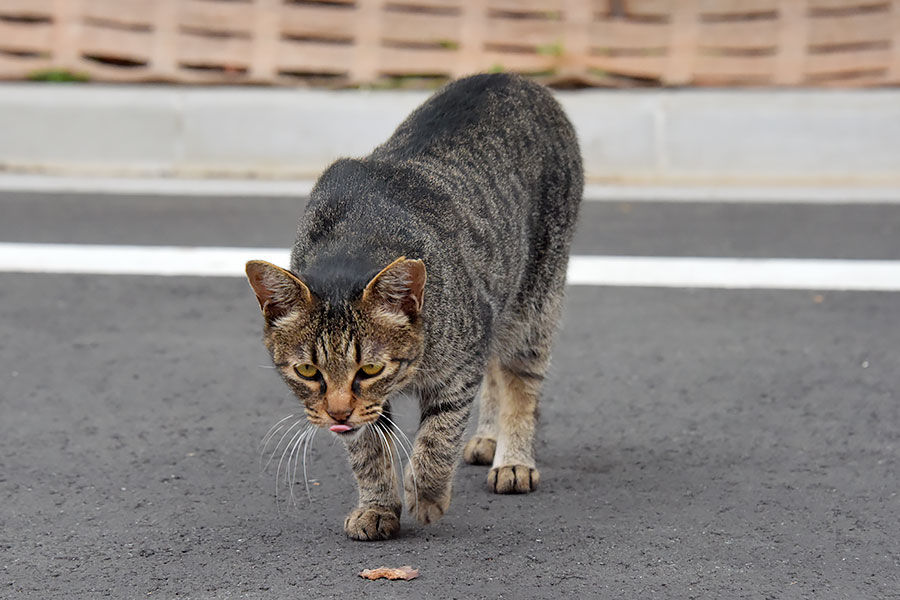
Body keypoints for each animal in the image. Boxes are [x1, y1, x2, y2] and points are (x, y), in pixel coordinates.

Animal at [246, 72, 584, 540]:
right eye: (308, 371)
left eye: (370, 368)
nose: (336, 412)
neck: (354, 241)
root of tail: (511, 76)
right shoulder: (365, 412)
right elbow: (368, 451)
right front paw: (377, 507)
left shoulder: (460, 363)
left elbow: (437, 438)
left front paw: (425, 494)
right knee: (496, 370)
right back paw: (489, 438)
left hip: (532, 302)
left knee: (520, 380)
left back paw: (513, 458)